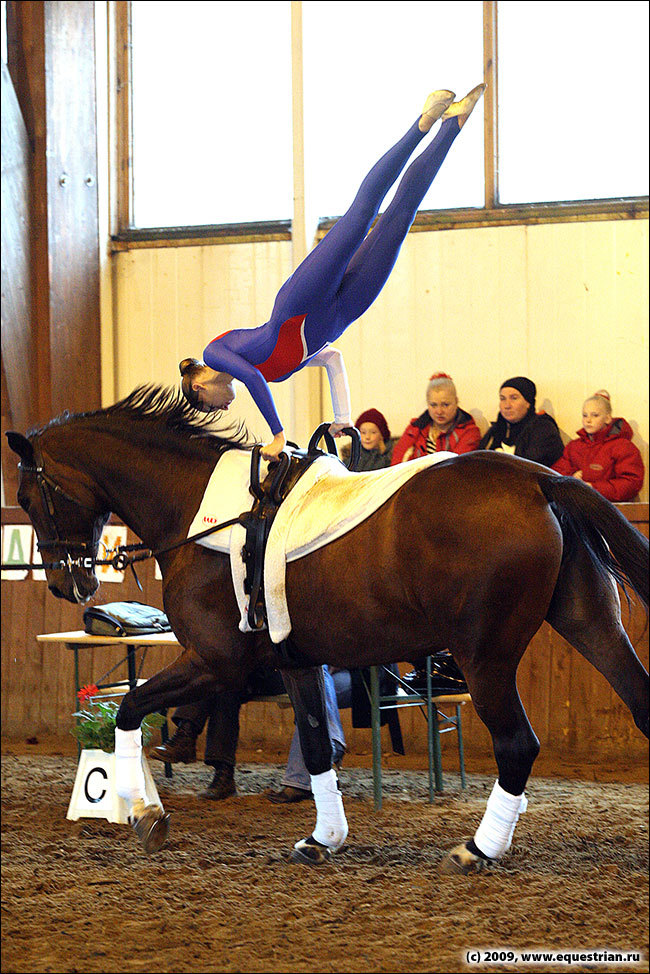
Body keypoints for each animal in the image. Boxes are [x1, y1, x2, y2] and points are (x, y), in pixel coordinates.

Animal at [6, 386, 648, 872]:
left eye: (27, 496)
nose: (68, 586)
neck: (197, 514)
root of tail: (535, 478)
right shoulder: (297, 661)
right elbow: (316, 747)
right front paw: (324, 839)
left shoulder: (215, 663)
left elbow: (128, 710)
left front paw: (145, 813)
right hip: (590, 621)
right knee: (637, 704)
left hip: (484, 657)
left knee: (517, 744)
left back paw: (478, 849)